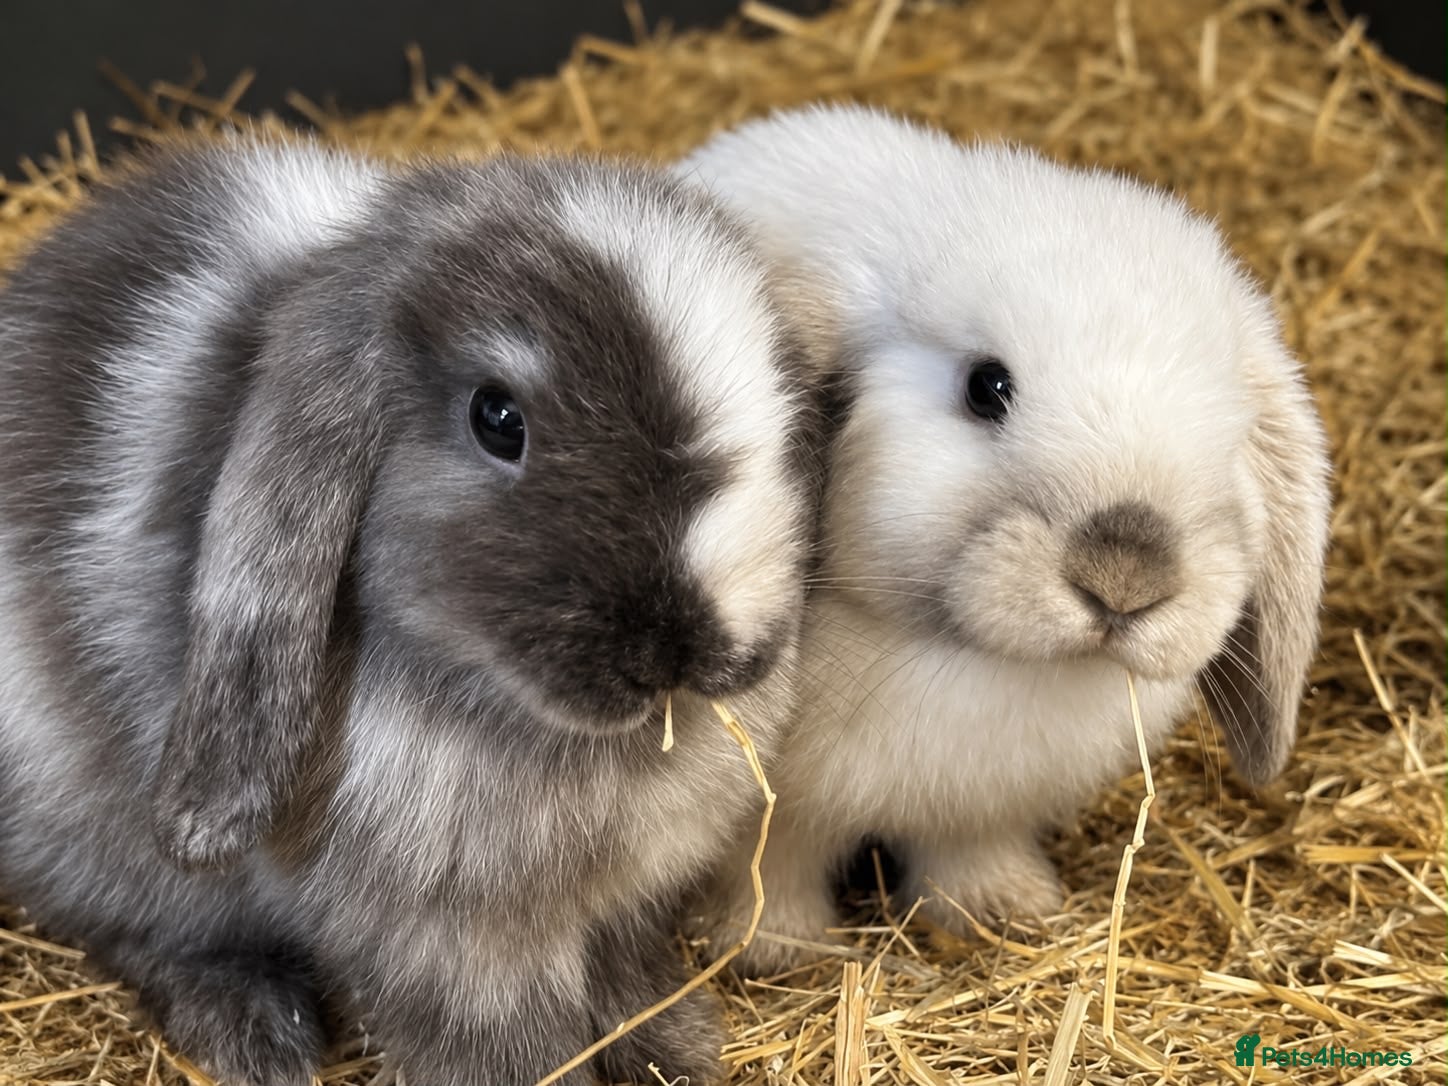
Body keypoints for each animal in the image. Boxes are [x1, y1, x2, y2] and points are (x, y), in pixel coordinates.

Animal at [0, 136, 832, 1085]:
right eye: (498, 417)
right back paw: (255, 1031)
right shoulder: (445, 948)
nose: (678, 651)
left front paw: (680, 1050)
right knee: (143, 934)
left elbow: (626, 974)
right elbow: (502, 1039)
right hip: (98, 842)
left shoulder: (625, 901)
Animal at [675, 105, 1332, 973]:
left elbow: (967, 856)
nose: (1126, 578)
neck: (970, 660)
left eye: (1230, 430)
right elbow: (767, 872)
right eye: (986, 388)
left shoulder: (979, 813)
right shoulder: (769, 821)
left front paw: (1004, 913)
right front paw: (769, 952)